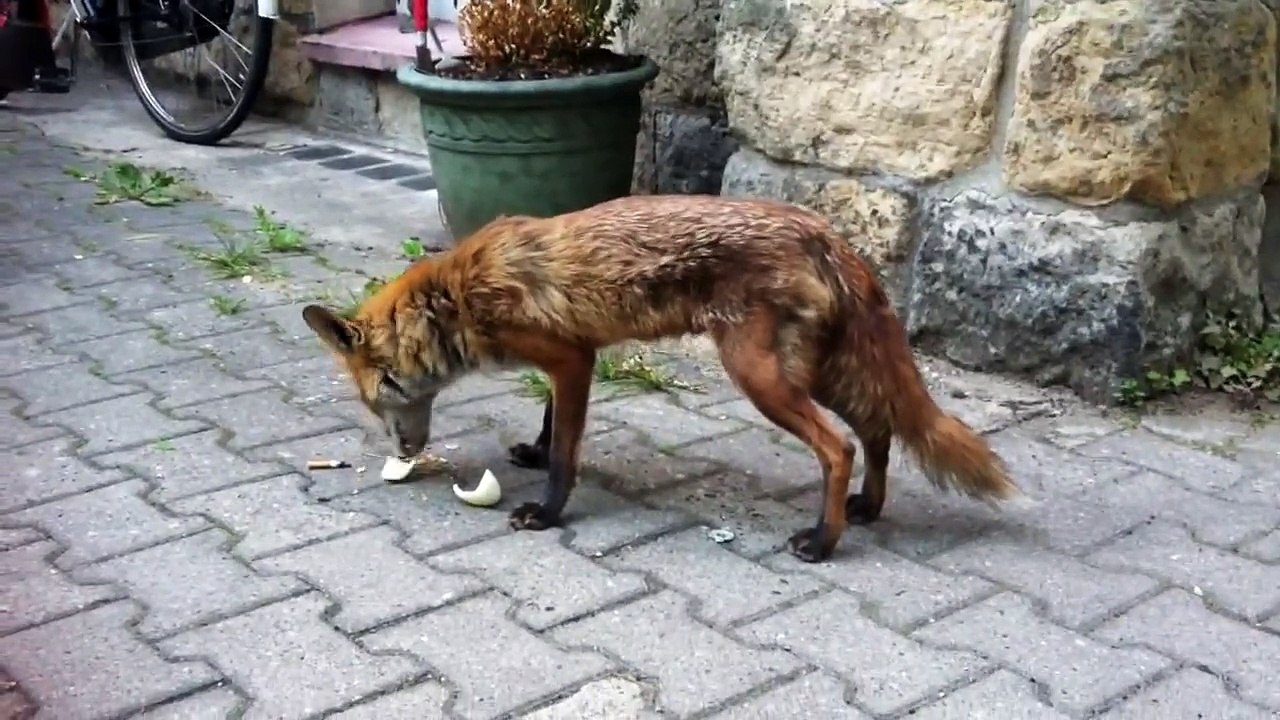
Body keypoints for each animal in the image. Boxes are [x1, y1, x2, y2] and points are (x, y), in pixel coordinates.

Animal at [300, 194, 1021, 562]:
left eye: (382, 397)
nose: (403, 451)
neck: (455, 296)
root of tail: (821, 229)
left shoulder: (571, 359)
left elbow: (566, 456)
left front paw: (548, 512)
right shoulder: (577, 356)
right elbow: (551, 424)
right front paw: (532, 451)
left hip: (762, 377)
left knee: (839, 446)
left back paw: (823, 540)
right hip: (815, 372)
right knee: (877, 428)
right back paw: (867, 508)